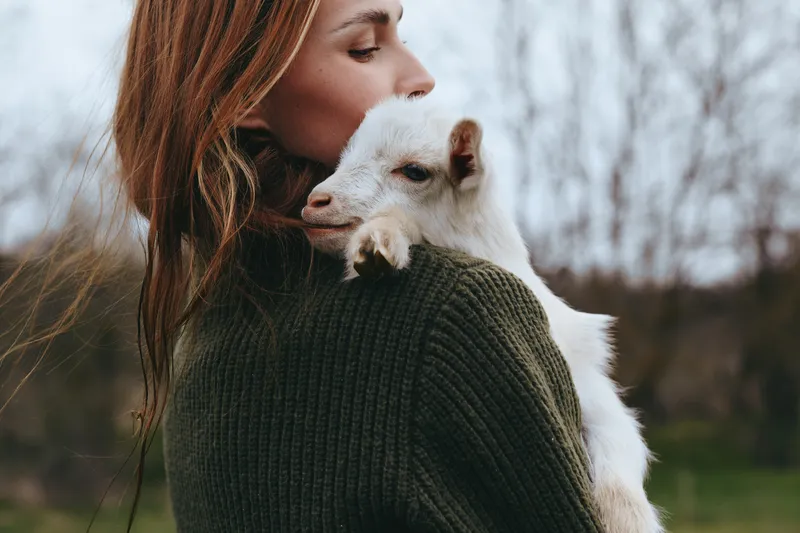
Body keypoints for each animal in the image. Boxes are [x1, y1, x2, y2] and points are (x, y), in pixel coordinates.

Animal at [301, 95, 664, 533]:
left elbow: (621, 454)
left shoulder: (593, 390)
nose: (316, 202)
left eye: (415, 171)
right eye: (342, 158)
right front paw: (379, 242)